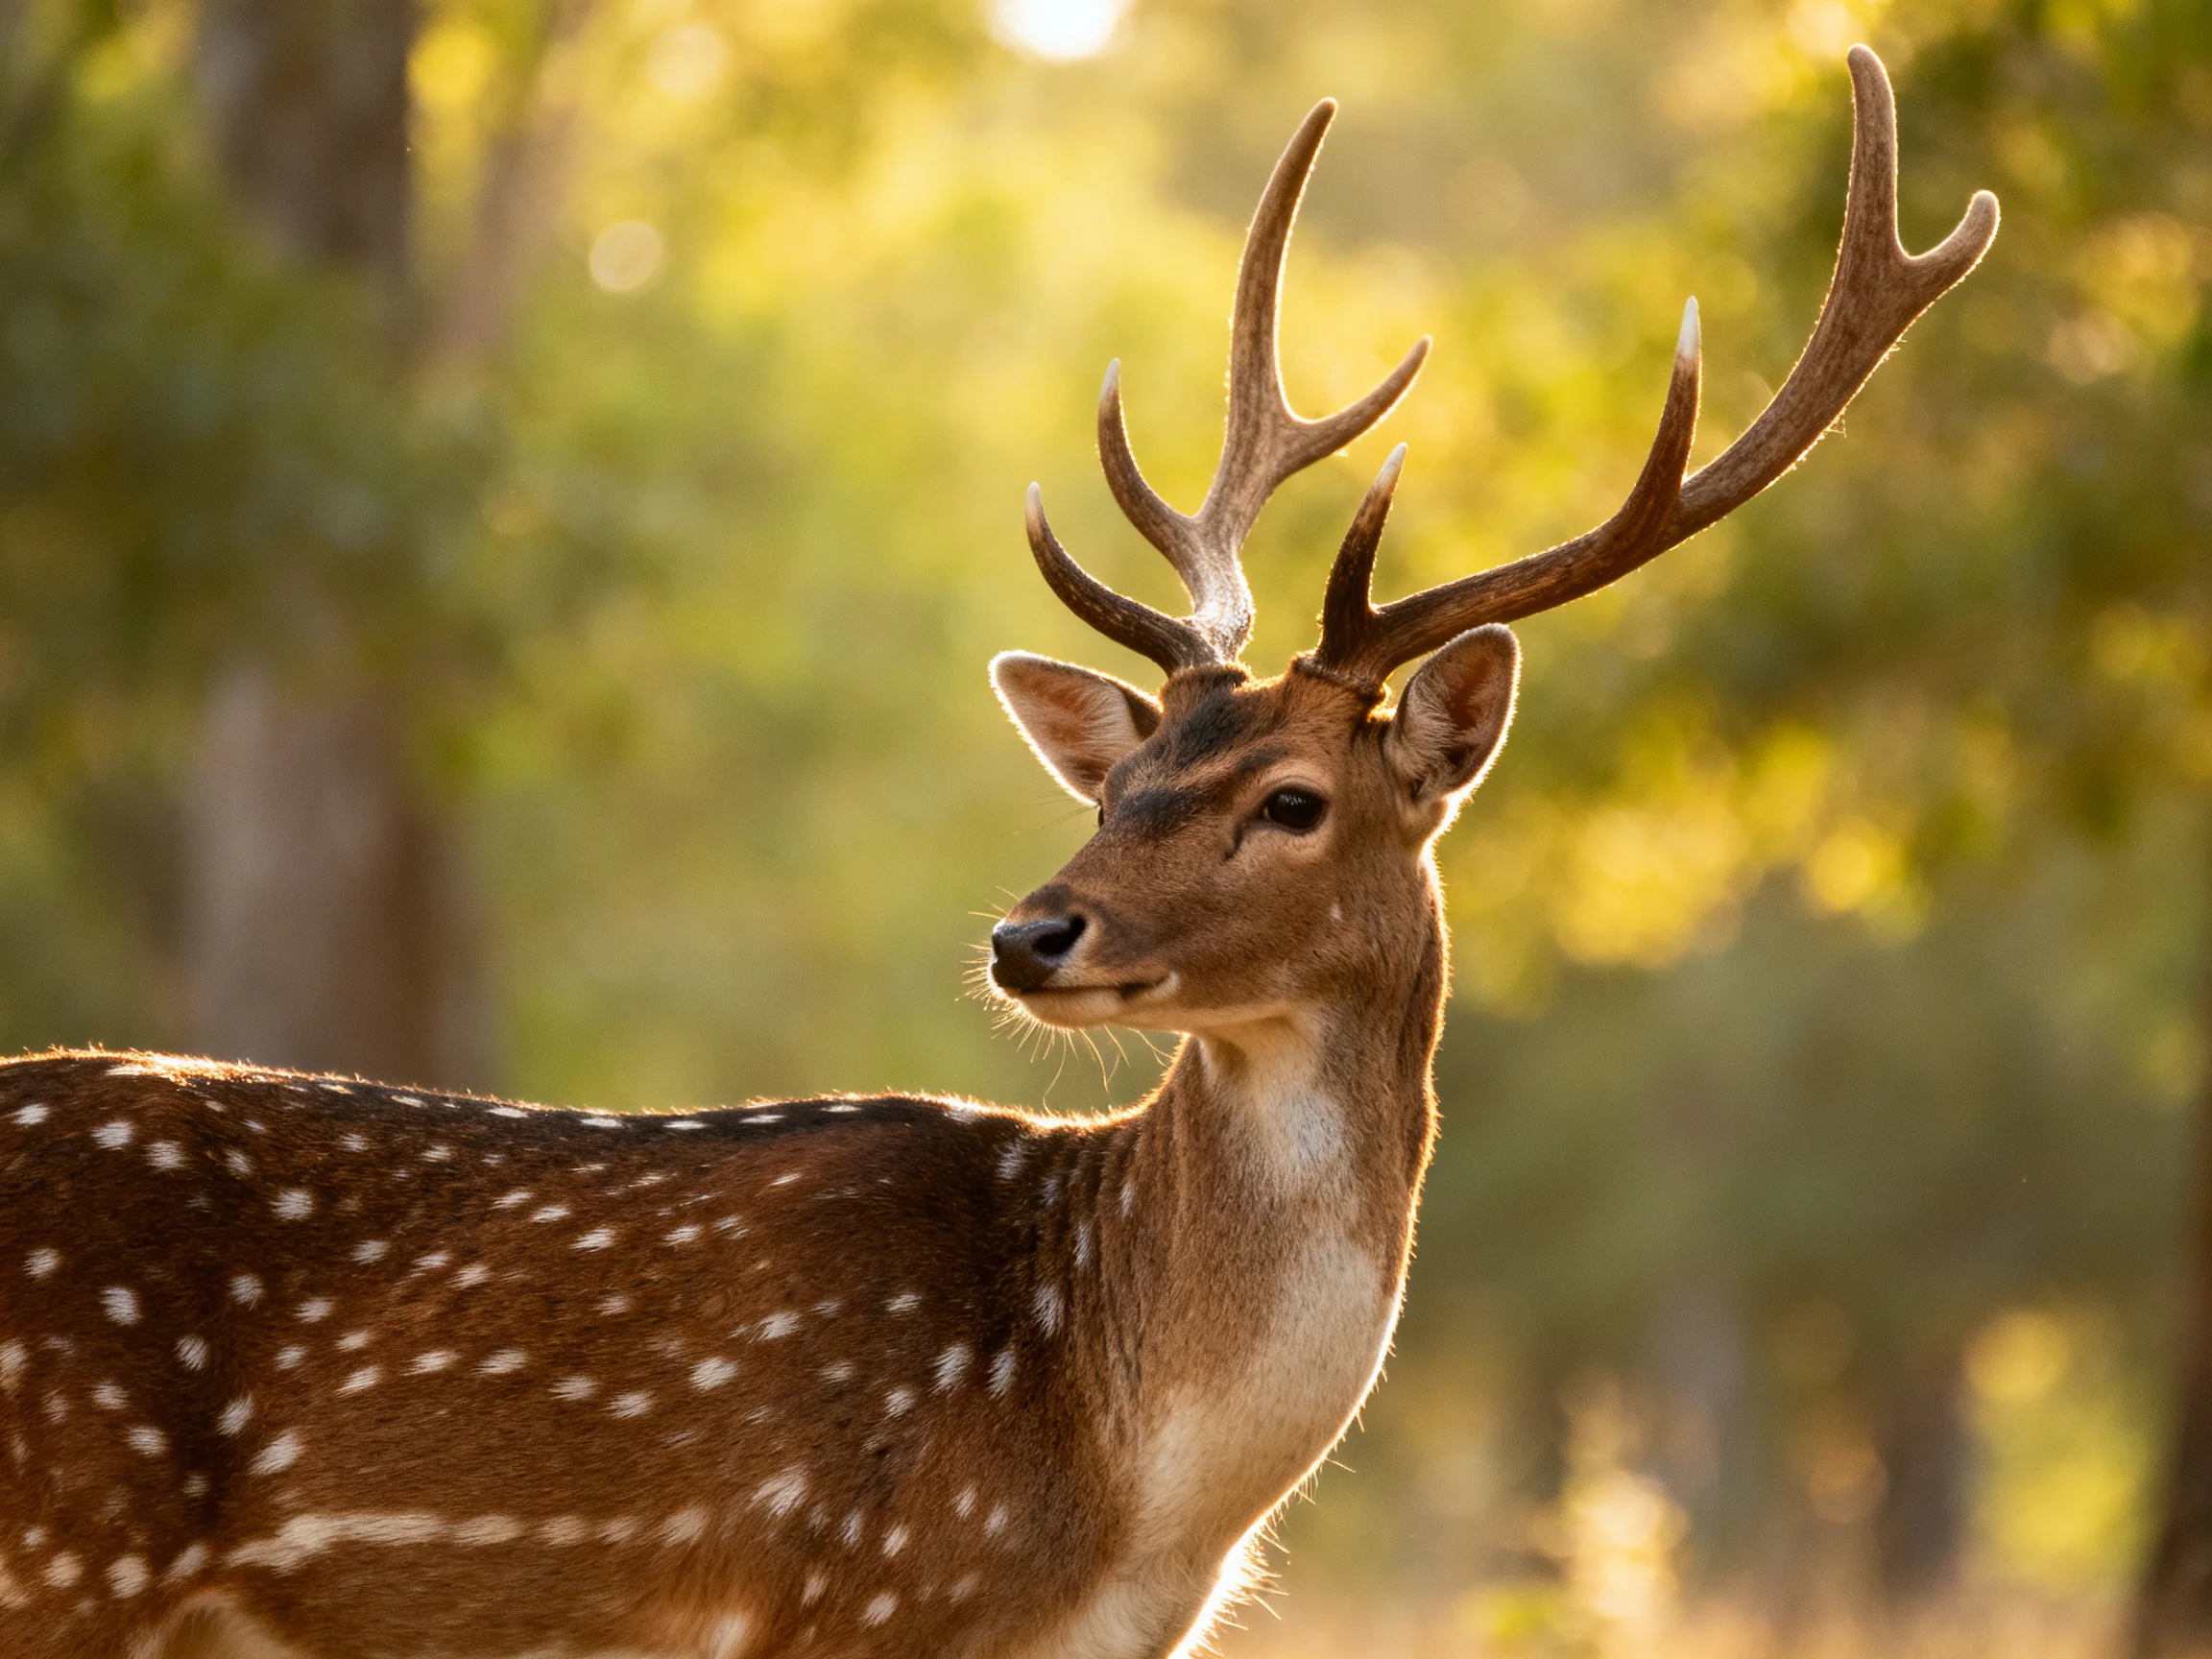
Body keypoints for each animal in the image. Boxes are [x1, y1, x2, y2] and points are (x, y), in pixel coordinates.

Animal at [0, 46, 1992, 1659]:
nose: (1033, 933)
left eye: (1289, 796)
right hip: (64, 1551)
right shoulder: (858, 1594)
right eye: (1122, 780)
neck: (1130, 1500)